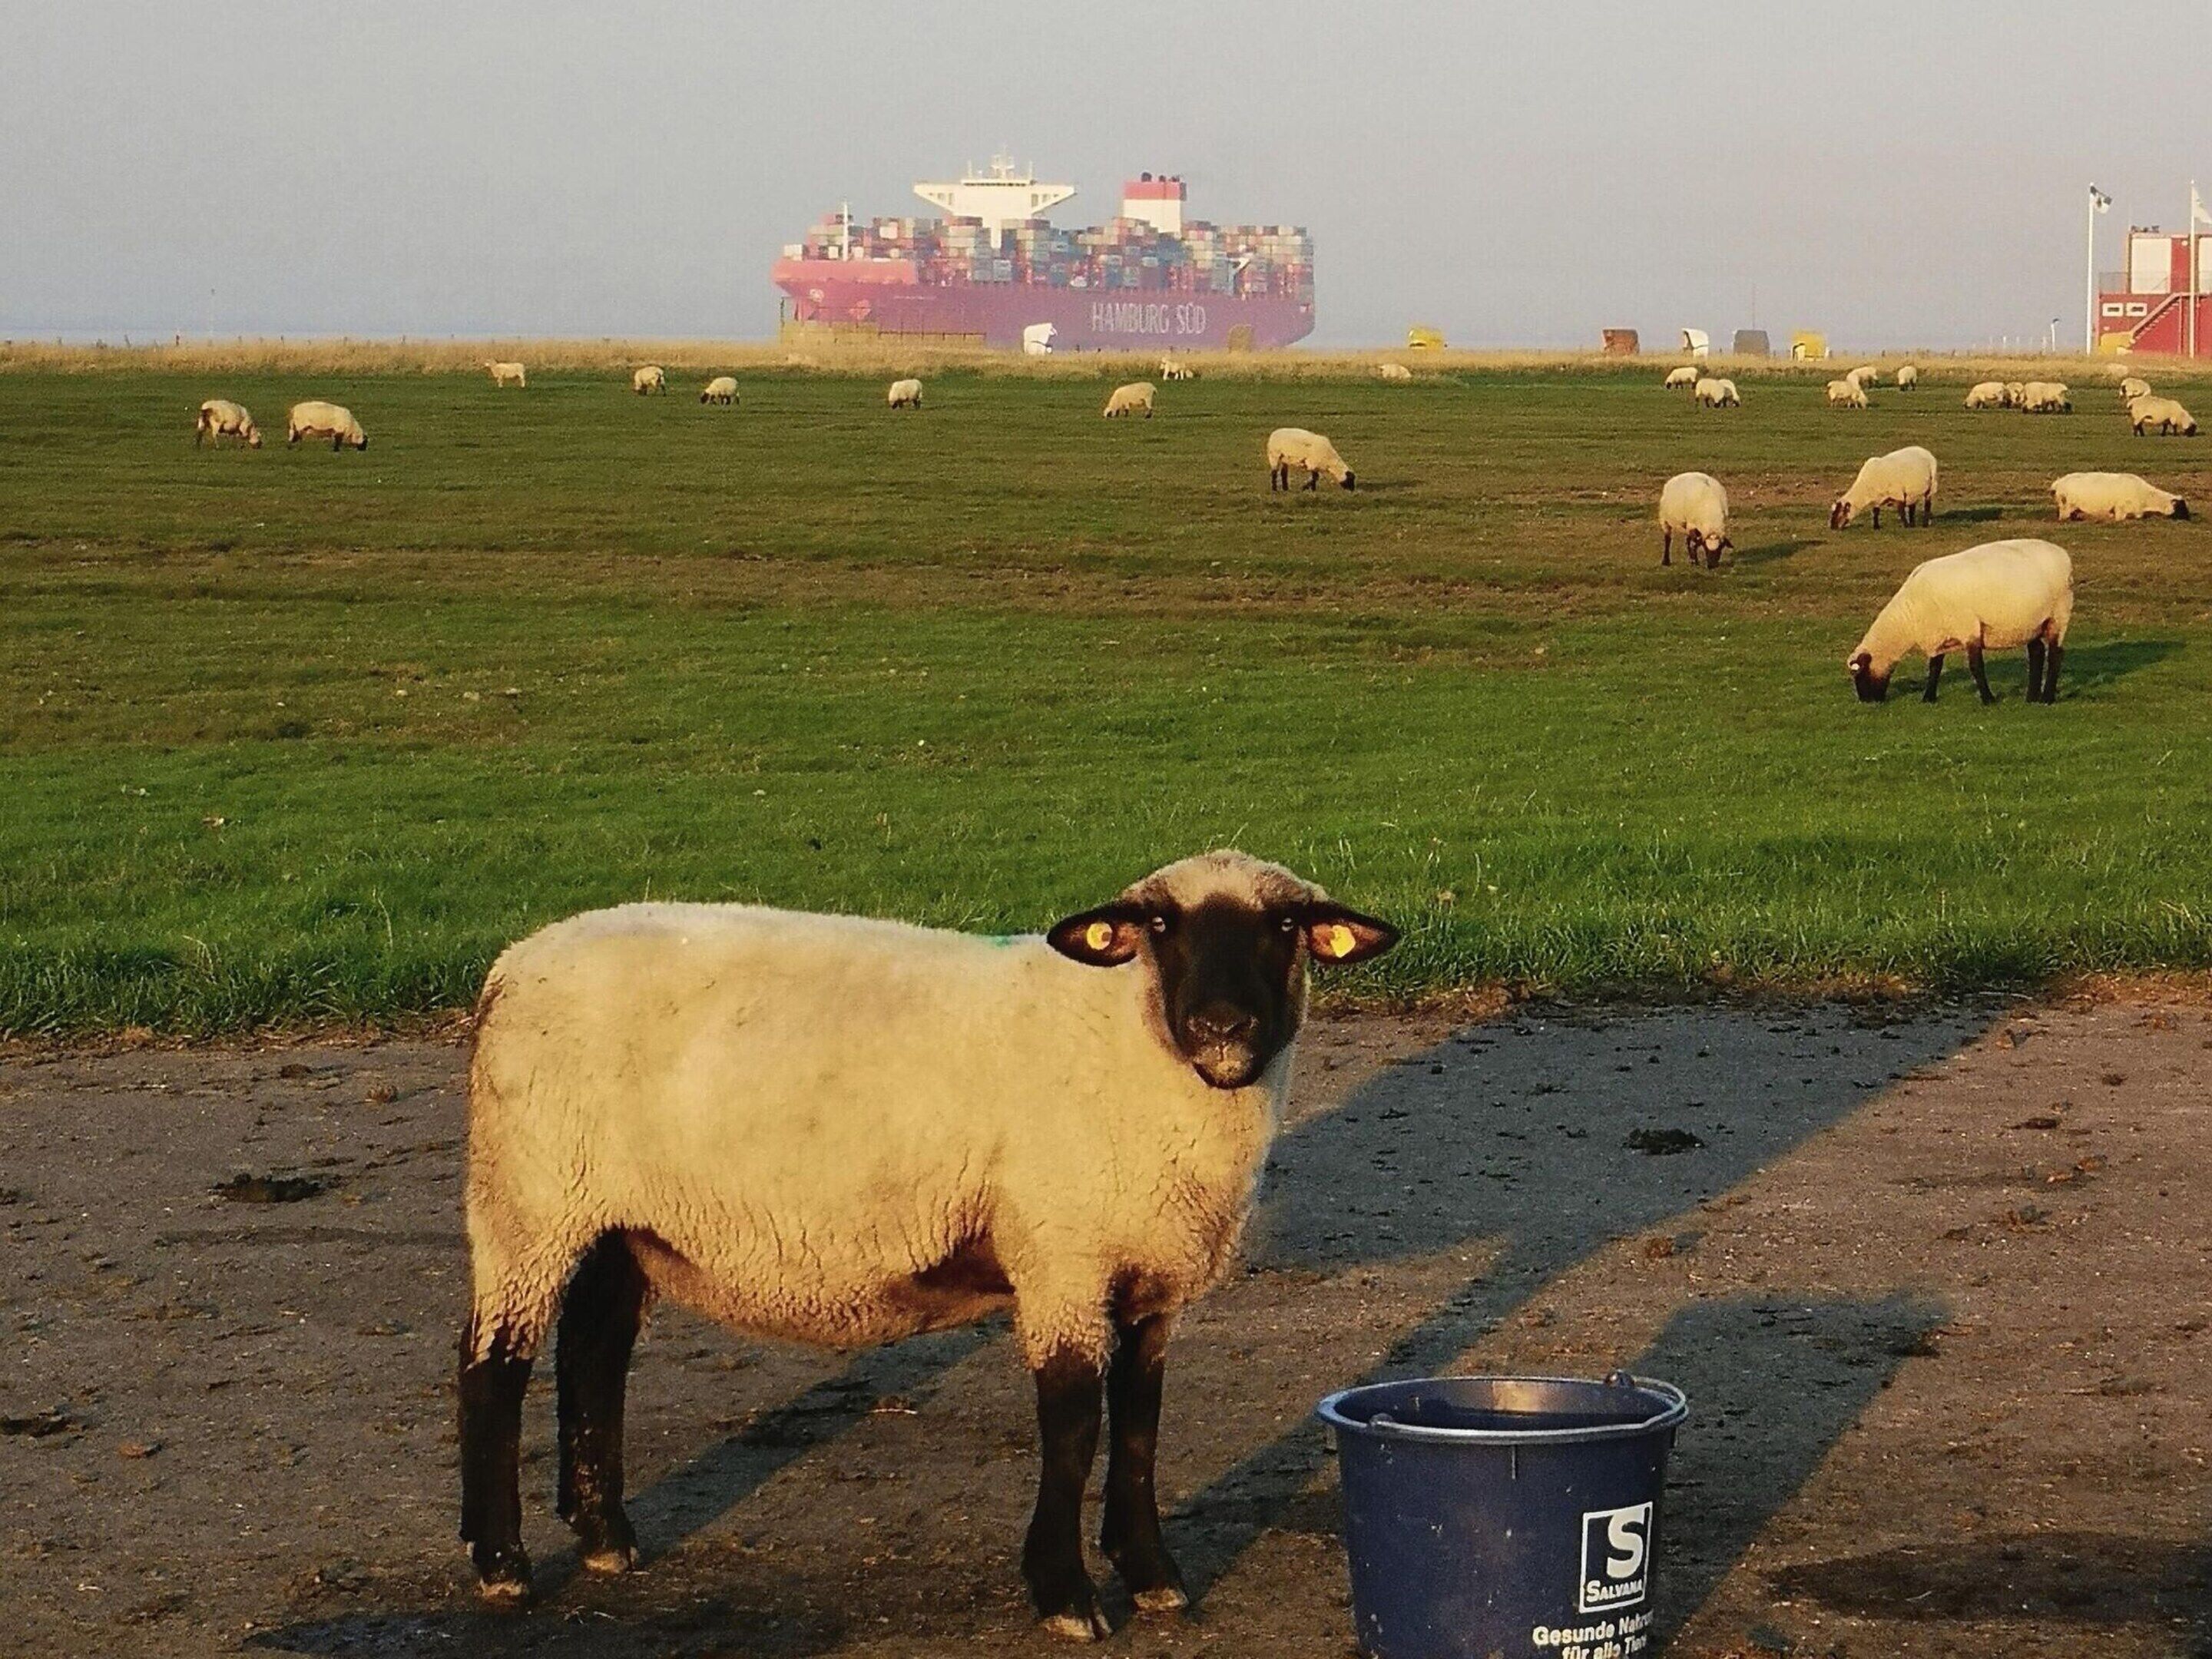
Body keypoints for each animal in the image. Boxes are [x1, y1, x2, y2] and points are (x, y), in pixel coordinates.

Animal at [455, 851, 1400, 1634]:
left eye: (1287, 927)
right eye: (1161, 927)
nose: (1222, 1026)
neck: (1132, 1041)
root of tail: (511, 967)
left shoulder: (1147, 1275)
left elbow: (1139, 1423)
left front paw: (1152, 1576)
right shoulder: (1061, 1257)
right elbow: (1073, 1424)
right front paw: (1064, 1594)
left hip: (615, 1219)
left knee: (593, 1353)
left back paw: (605, 1537)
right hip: (528, 1198)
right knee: (493, 1362)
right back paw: (501, 1565)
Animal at [1830, 444, 1939, 529]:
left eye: (1841, 512)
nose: (1832, 527)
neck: (1865, 487)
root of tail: (1926, 452)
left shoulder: (1897, 493)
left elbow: (1901, 511)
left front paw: (1906, 526)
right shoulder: (1877, 498)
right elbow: (1875, 511)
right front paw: (1876, 527)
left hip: (1931, 486)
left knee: (1927, 504)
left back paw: (1924, 524)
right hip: (1912, 491)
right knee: (1912, 505)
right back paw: (1913, 524)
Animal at [1847, 538, 2072, 705]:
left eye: (1860, 675)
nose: (1867, 702)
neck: (1909, 616)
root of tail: (2063, 554)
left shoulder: (1968, 628)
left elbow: (1976, 666)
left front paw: (1988, 699)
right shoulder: (1940, 633)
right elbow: (1935, 667)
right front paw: (1928, 697)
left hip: (2058, 616)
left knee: (2055, 655)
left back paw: (2046, 698)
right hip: (2031, 623)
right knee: (2036, 653)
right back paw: (2031, 698)